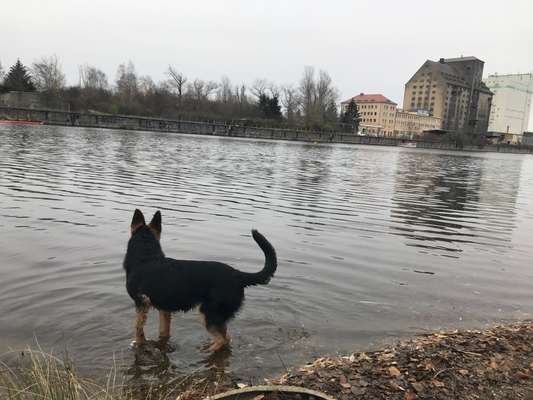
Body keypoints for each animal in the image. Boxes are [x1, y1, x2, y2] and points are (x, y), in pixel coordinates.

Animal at [122, 211, 276, 352]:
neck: (146, 258)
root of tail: (237, 275)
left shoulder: (141, 302)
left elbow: (138, 327)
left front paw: (138, 343)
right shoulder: (164, 310)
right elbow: (163, 331)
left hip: (208, 314)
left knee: (222, 339)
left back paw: (209, 350)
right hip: (217, 317)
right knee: (226, 337)